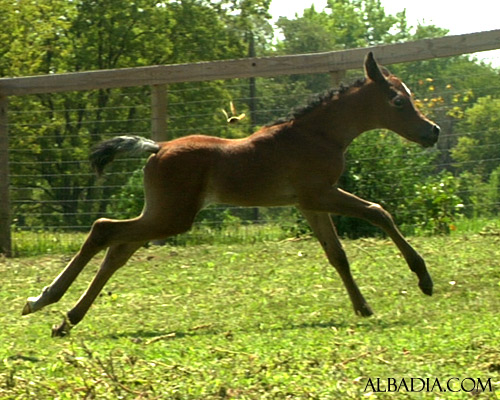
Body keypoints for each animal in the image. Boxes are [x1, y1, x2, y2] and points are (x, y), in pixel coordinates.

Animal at [21, 51, 440, 336]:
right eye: (398, 100)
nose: (432, 131)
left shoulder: (308, 204)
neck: (317, 135)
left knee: (117, 249)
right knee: (104, 230)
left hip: (160, 214)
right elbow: (378, 211)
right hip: (174, 217)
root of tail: (157, 147)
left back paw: (66, 319)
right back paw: (44, 300)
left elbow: (337, 255)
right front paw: (423, 279)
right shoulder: (320, 194)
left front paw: (362, 306)